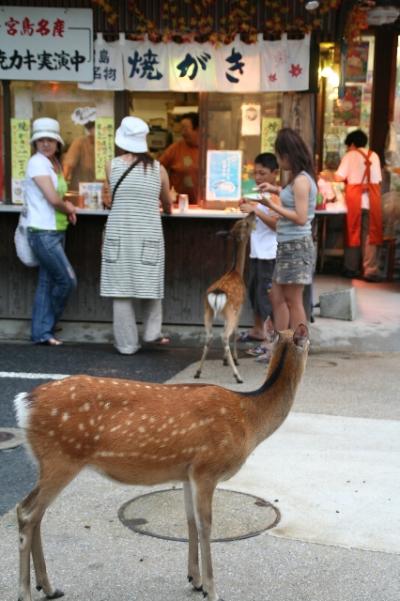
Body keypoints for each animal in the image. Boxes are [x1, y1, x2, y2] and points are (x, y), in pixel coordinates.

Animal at [14, 324, 310, 600]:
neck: (249, 418)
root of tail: (24, 404)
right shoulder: (207, 468)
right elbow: (206, 526)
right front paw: (212, 590)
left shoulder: (188, 472)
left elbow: (190, 521)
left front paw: (195, 580)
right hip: (61, 458)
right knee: (28, 513)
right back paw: (26, 592)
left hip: (49, 462)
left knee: (32, 512)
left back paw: (49, 587)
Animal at [195, 214, 256, 384]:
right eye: (245, 223)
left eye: (239, 221)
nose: (253, 213)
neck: (236, 271)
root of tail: (217, 293)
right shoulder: (240, 308)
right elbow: (235, 332)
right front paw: (233, 360)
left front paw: (224, 360)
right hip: (231, 311)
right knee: (225, 336)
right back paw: (237, 376)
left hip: (207, 312)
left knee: (209, 336)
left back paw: (198, 372)